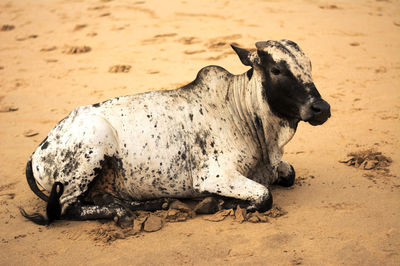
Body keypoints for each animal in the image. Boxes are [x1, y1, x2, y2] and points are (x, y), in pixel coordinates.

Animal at [19, 39, 332, 225]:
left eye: (309, 65)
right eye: (277, 69)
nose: (322, 108)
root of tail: (38, 151)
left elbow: (289, 175)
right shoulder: (214, 175)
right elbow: (265, 196)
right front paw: (219, 202)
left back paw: (152, 204)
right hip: (92, 148)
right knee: (67, 208)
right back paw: (121, 213)